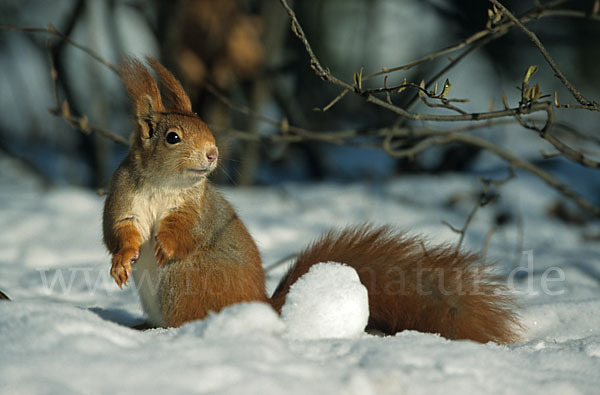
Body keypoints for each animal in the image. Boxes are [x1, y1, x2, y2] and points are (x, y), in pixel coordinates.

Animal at [103, 57, 520, 344]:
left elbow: (186, 231)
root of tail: (262, 306)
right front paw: (123, 261)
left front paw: (164, 245)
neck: (163, 185)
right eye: (172, 137)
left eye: (206, 127)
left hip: (189, 281)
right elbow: (118, 233)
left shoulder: (196, 209)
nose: (212, 154)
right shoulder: (123, 201)